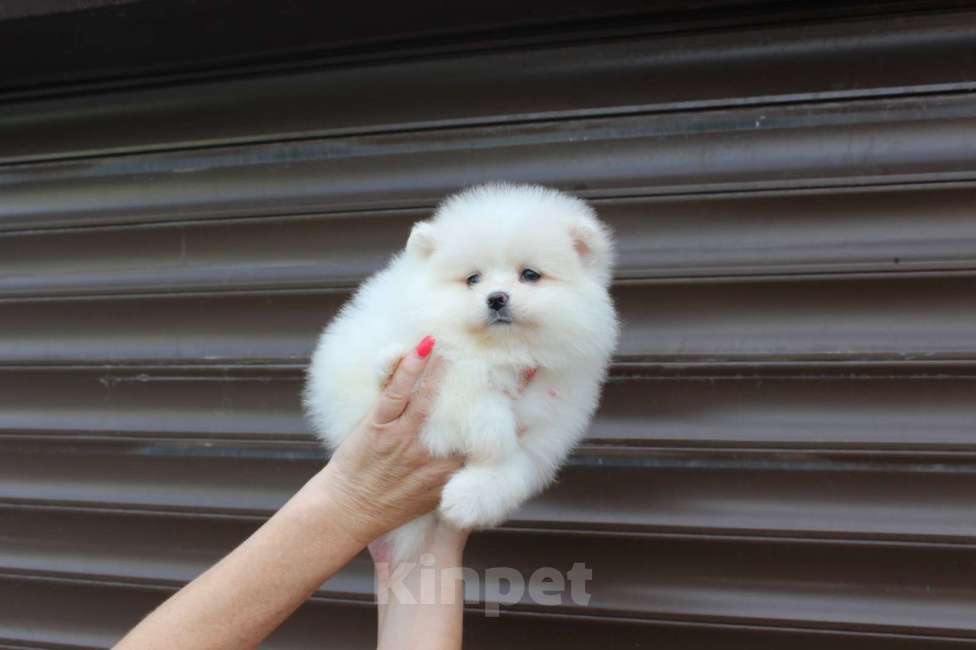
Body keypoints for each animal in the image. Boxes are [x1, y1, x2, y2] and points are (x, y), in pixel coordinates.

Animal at [304, 182, 616, 556]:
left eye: (530, 275)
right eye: (473, 279)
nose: (496, 298)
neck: (503, 351)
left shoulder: (551, 422)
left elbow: (517, 466)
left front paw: (468, 500)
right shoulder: (442, 363)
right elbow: (466, 387)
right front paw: (492, 429)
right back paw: (391, 363)